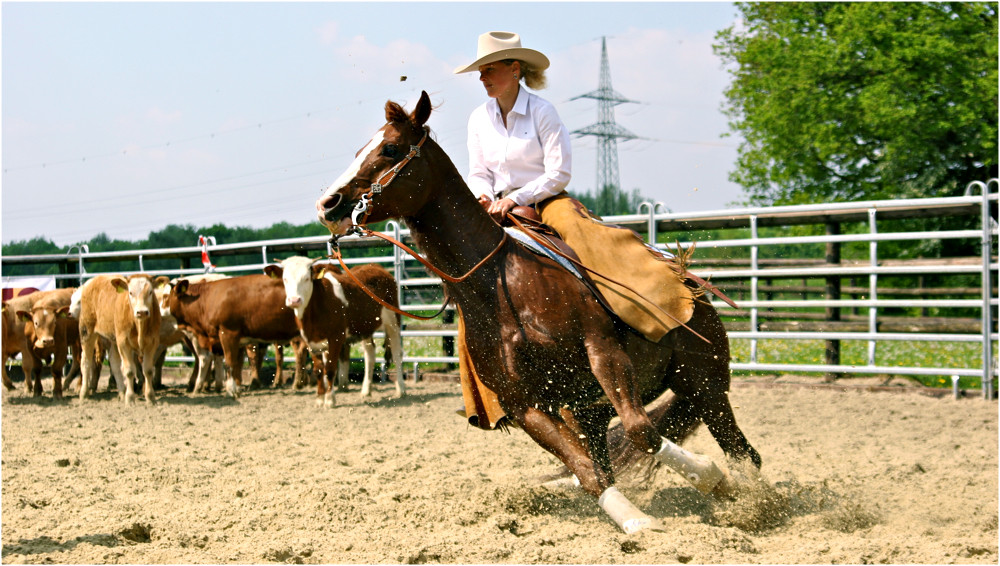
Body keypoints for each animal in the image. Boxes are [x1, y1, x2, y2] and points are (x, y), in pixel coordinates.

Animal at [74, 274, 161, 404]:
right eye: (130, 292)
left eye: (150, 292)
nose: (142, 312)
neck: (139, 325)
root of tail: (91, 281)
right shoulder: (124, 343)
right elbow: (129, 371)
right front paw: (130, 399)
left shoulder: (152, 342)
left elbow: (148, 370)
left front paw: (150, 398)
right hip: (86, 330)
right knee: (86, 362)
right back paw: (84, 393)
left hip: (114, 339)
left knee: (114, 362)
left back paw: (122, 392)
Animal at [270, 255, 406, 406]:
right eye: (285, 279)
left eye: (306, 278)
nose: (294, 300)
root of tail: (376, 266)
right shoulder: (311, 341)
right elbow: (319, 370)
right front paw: (319, 399)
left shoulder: (335, 338)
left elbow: (330, 369)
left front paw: (330, 400)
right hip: (365, 327)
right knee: (370, 354)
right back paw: (366, 390)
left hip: (393, 322)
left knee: (396, 353)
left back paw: (401, 390)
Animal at [316, 91, 760, 536]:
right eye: (359, 151)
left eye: (390, 148)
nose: (328, 204)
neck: (501, 285)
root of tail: (689, 284)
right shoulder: (525, 404)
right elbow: (587, 470)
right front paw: (636, 521)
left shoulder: (603, 351)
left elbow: (640, 430)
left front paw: (709, 478)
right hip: (592, 412)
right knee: (606, 457)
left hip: (705, 383)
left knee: (743, 452)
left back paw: (756, 500)